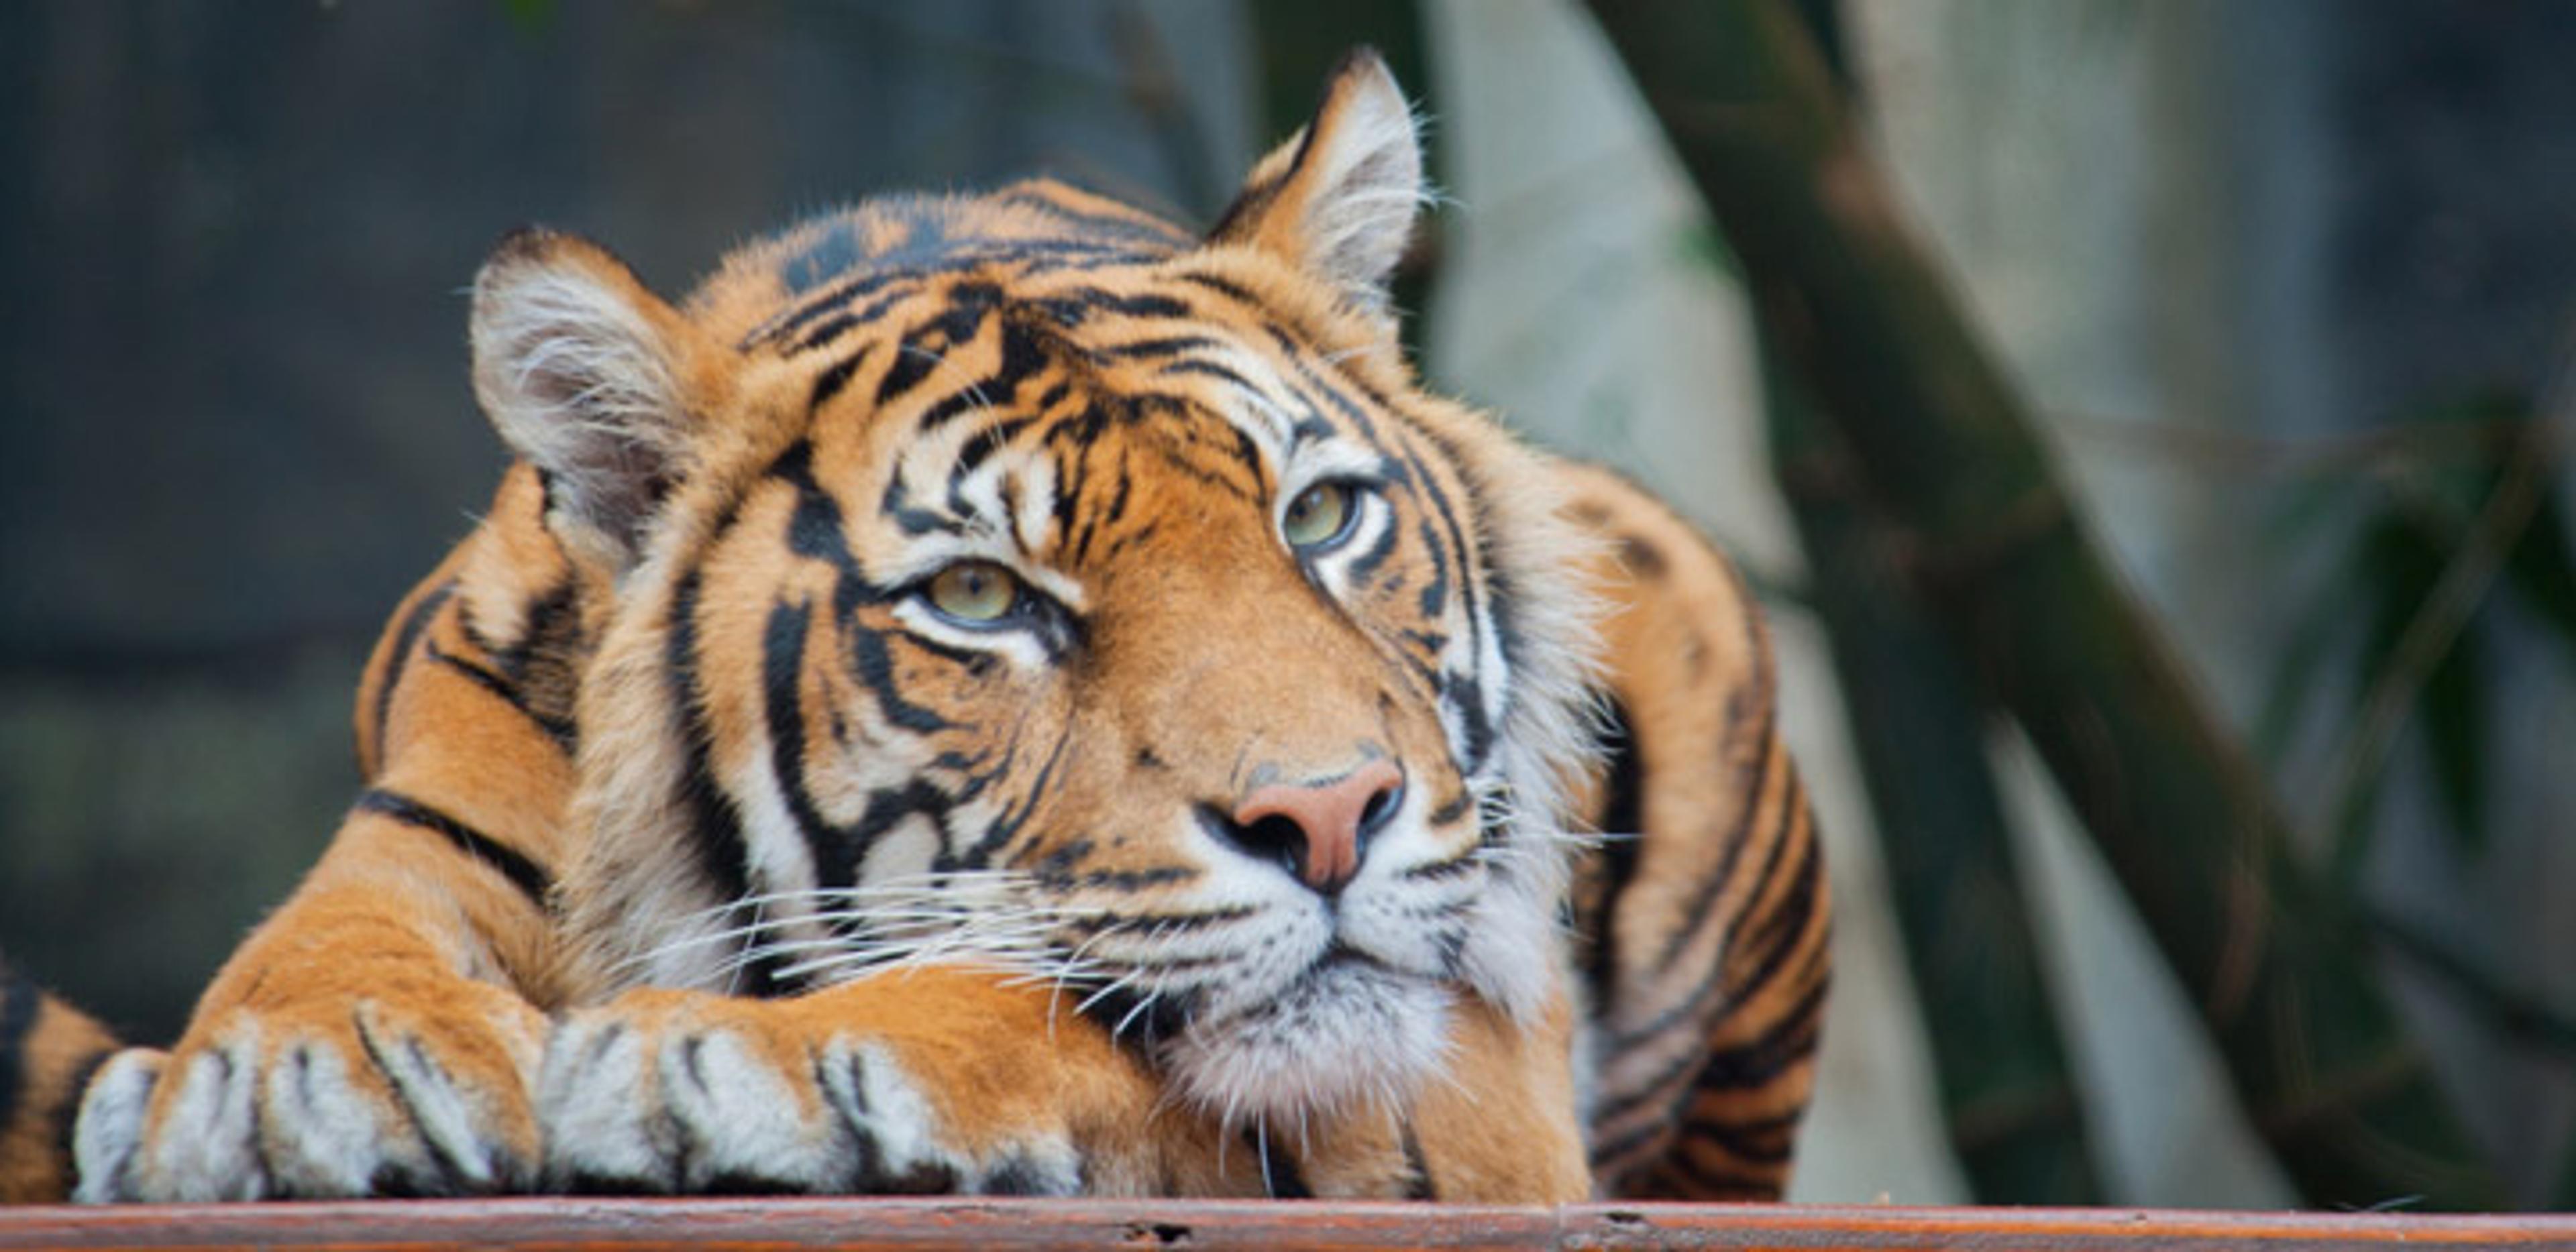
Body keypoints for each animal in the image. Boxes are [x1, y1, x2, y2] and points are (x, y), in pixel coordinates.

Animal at [0, 50, 1827, 1206]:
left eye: (1318, 518)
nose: (1329, 818)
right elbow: (314, 954)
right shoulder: (420, 836)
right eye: (978, 597)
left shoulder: (1466, 1056)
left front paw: (721, 1065)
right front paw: (285, 1076)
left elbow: (1051, 1011)